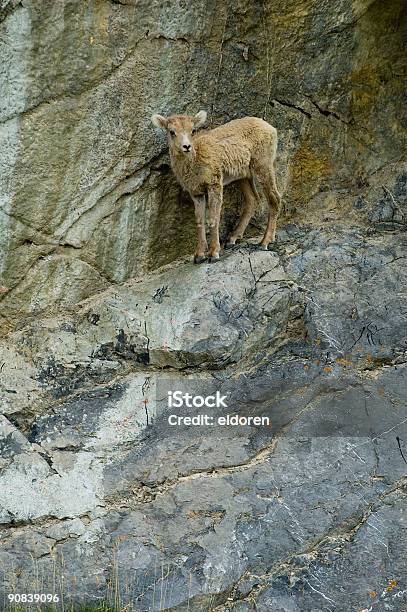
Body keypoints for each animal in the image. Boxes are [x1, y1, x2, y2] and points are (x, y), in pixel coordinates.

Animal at [151, 112, 282, 262]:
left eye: (192, 130)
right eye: (171, 132)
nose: (187, 146)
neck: (195, 163)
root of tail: (271, 128)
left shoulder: (214, 184)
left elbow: (214, 217)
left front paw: (214, 253)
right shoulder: (196, 192)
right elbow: (199, 220)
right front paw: (199, 255)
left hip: (263, 165)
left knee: (275, 198)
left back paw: (265, 241)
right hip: (243, 175)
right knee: (253, 199)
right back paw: (232, 239)